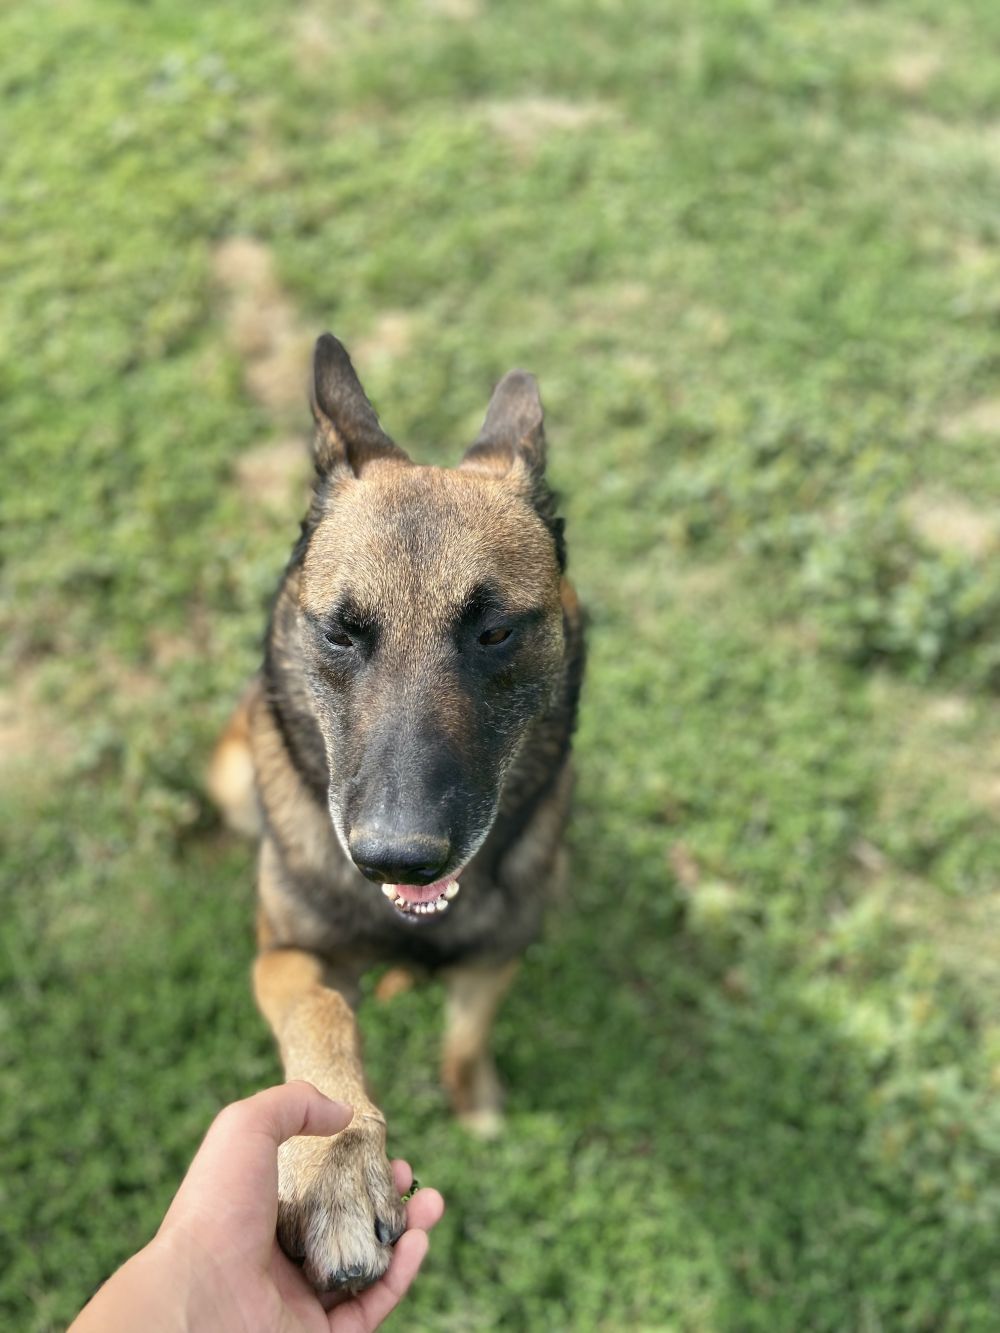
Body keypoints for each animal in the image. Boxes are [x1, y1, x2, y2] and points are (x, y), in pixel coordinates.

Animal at [212, 333, 586, 1290]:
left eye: (494, 632)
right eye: (341, 633)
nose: (398, 857)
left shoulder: (497, 953)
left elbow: (466, 1035)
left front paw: (473, 1102)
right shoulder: (285, 956)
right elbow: (322, 1021)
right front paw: (337, 1162)